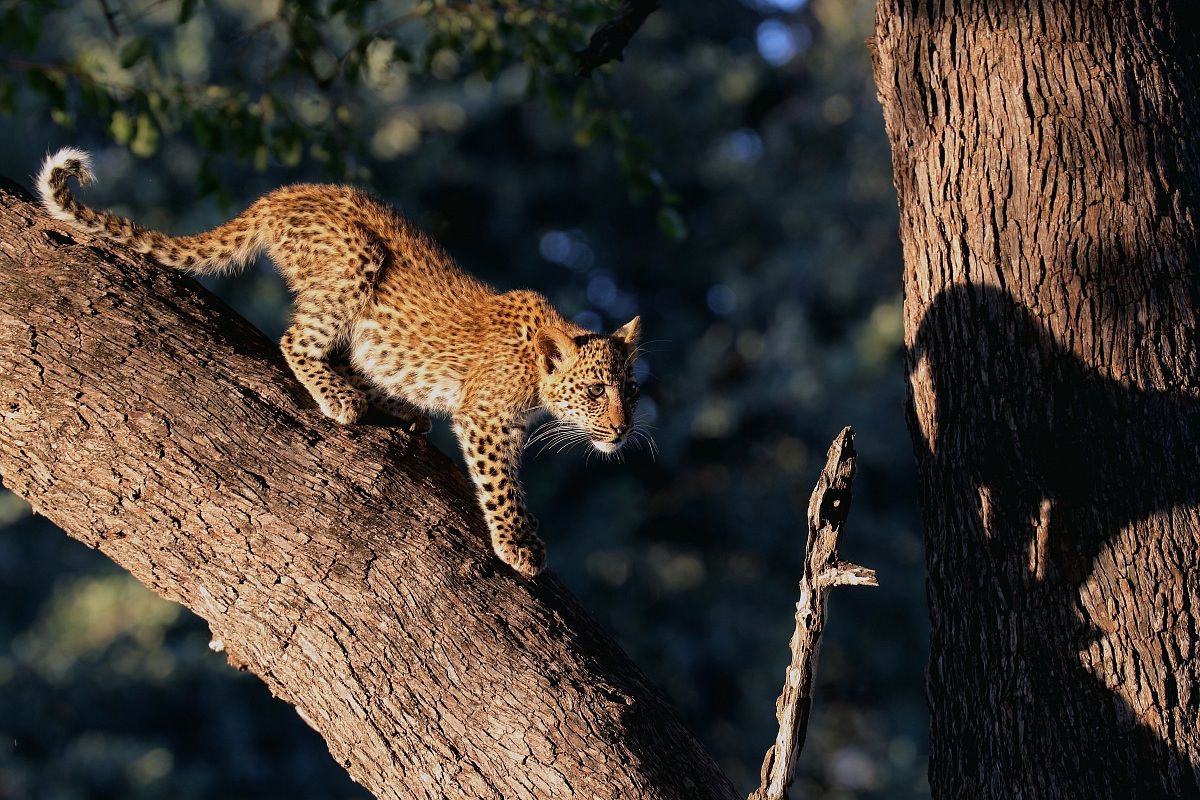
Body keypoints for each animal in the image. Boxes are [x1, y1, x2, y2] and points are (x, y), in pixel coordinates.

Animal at [36, 146, 644, 578]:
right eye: (596, 391)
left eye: (632, 393)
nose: (622, 431)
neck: (537, 373)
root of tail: (283, 193)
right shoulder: (487, 419)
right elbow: (502, 484)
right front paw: (518, 543)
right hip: (356, 257)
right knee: (296, 341)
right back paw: (343, 399)